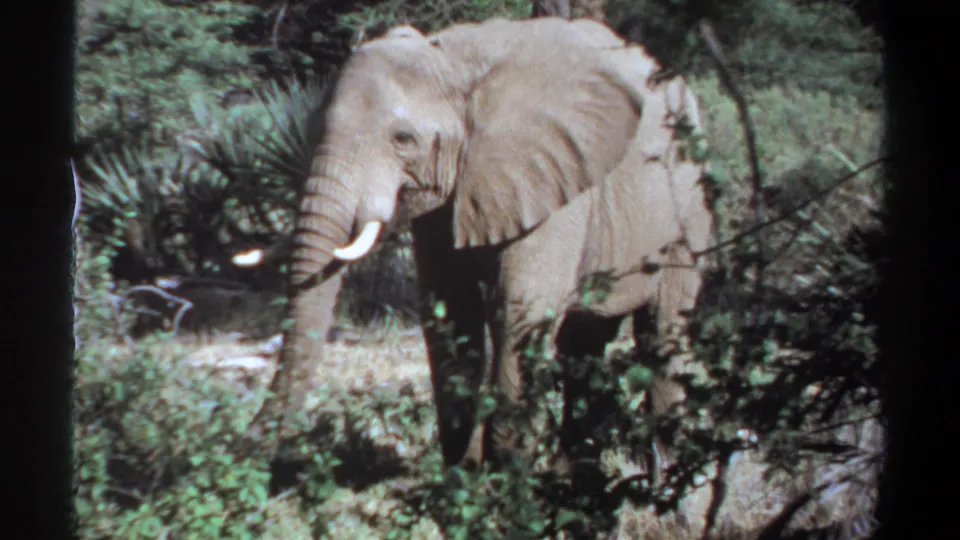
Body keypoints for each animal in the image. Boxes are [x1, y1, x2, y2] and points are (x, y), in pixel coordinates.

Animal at [242, 16, 715, 479]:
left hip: (689, 204)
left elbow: (522, 310)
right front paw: (462, 480)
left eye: (403, 140)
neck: (454, 62)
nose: (249, 443)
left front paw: (505, 485)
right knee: (586, 342)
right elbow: (450, 309)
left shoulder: (553, 182)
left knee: (663, 332)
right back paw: (577, 479)